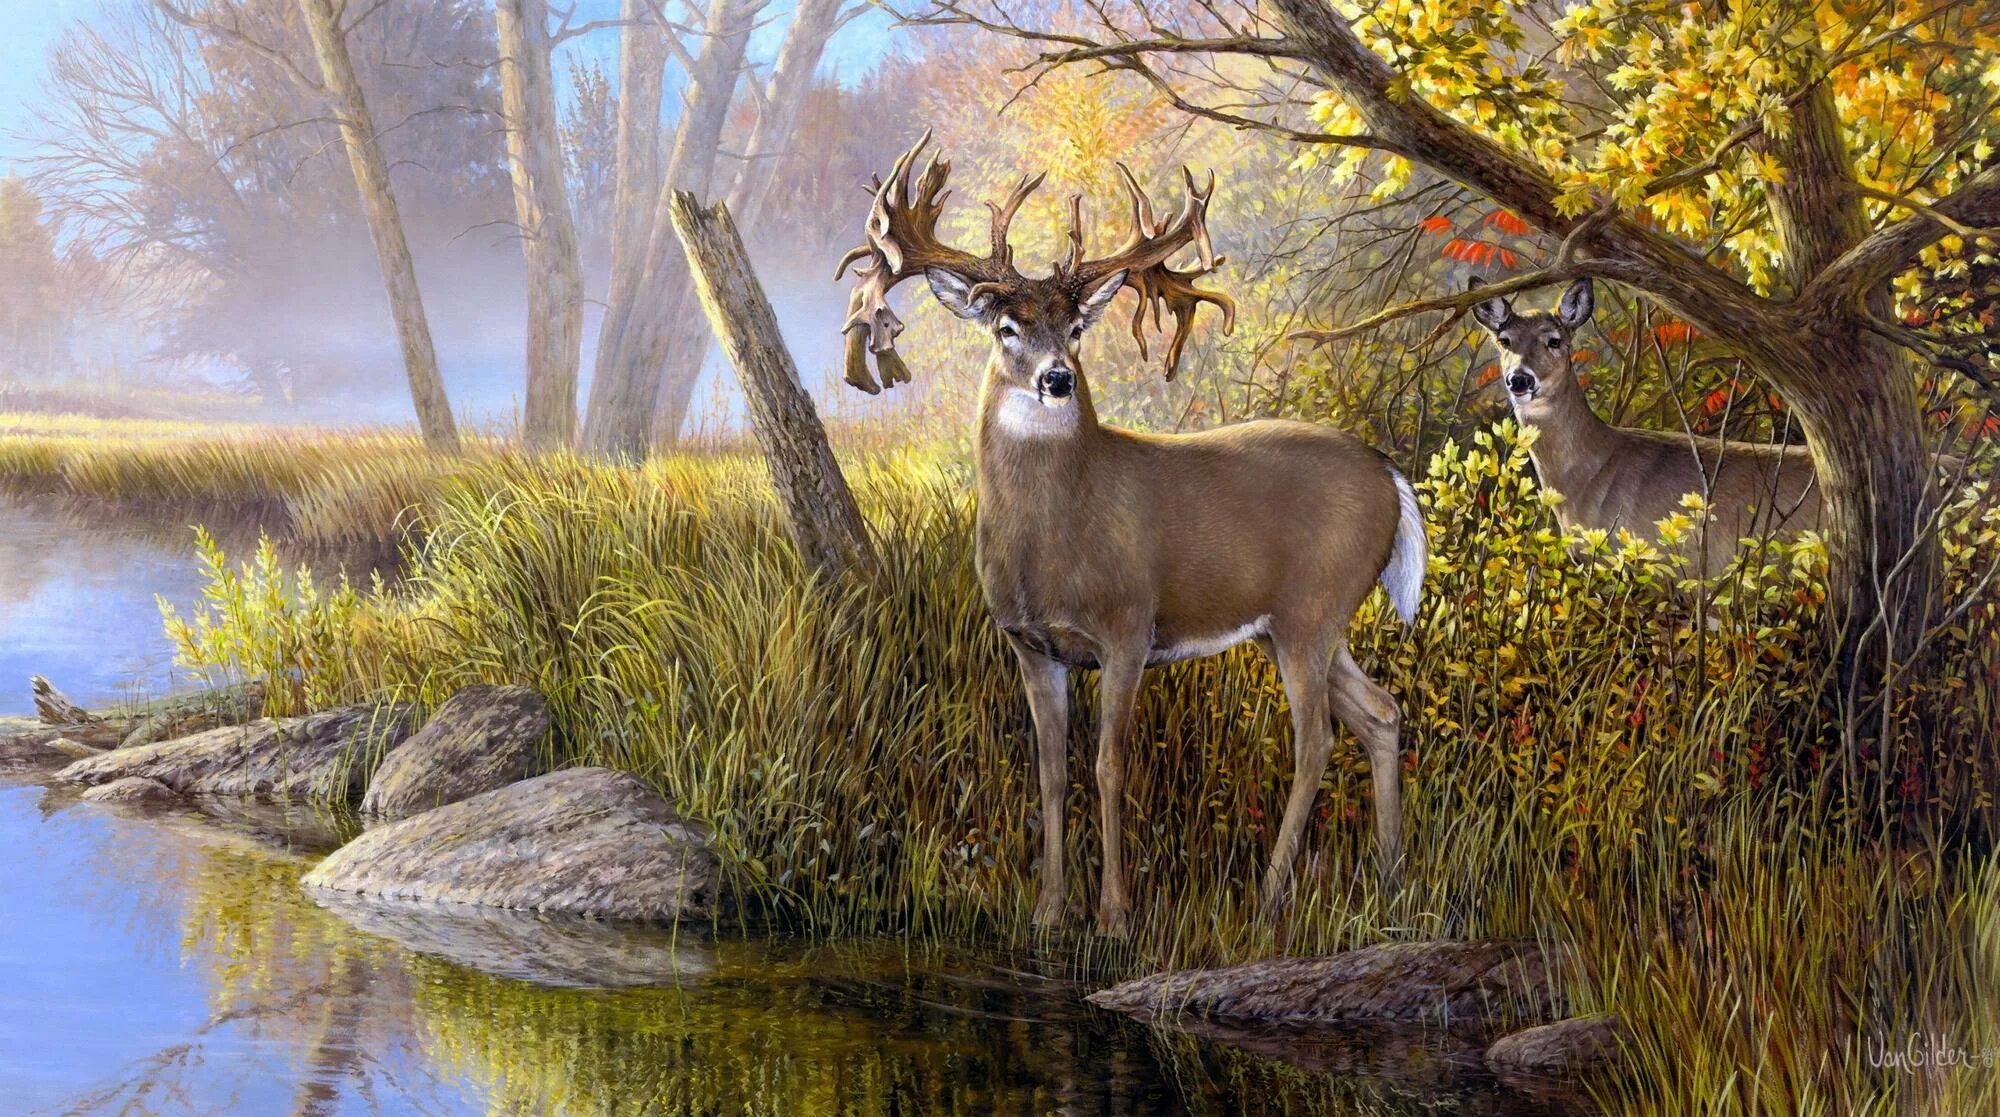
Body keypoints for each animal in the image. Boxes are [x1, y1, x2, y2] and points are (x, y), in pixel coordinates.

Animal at [837, 134, 1427, 936]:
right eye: (1006, 328)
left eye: (1077, 328)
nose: (1057, 379)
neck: (1054, 546)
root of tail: (1392, 474)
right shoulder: (1030, 643)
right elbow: (1051, 771)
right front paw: (1049, 911)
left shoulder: (1127, 628)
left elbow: (1110, 764)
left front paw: (1115, 914)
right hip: (1294, 623)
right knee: (1381, 712)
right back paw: (1392, 877)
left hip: (1314, 606)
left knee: (1316, 740)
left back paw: (1272, 894)